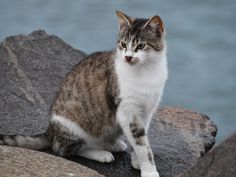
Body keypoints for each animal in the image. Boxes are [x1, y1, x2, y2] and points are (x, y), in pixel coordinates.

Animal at [1, 10, 168, 177]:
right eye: (123, 44)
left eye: (141, 46)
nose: (127, 57)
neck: (145, 71)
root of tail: (50, 129)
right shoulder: (128, 112)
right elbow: (142, 146)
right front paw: (149, 170)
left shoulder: (145, 112)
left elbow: (139, 141)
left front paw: (137, 162)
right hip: (74, 128)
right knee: (64, 149)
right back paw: (100, 153)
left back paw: (112, 144)